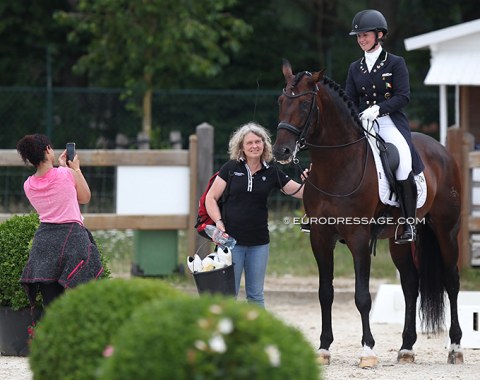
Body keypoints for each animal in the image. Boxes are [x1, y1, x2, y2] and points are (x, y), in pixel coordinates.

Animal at [272, 60, 464, 368]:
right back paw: (406, 348)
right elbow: (325, 293)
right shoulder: (320, 238)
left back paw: (455, 348)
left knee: (451, 281)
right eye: (281, 101)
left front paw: (367, 351)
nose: (281, 151)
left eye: (304, 104)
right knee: (411, 284)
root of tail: (441, 149)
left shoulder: (358, 237)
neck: (337, 167)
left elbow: (362, 296)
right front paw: (323, 348)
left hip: (446, 231)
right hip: (400, 240)